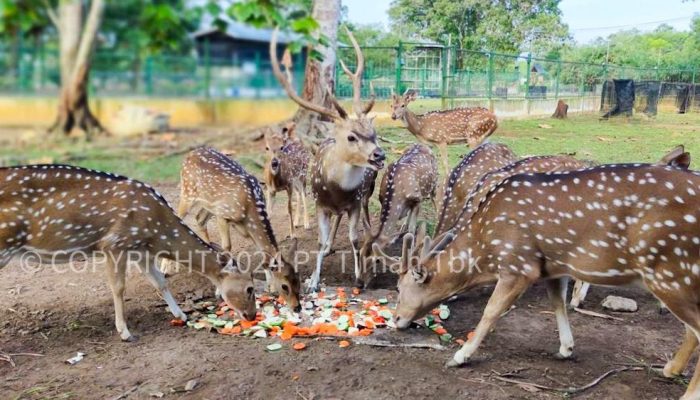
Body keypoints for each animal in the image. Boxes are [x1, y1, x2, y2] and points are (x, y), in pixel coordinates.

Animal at [0, 162, 254, 340]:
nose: (251, 315)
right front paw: (125, 332)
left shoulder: (139, 249)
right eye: (250, 288)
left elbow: (160, 281)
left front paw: (181, 315)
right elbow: (119, 287)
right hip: (5, 241)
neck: (157, 230)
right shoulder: (114, 243)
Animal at [175, 147, 300, 312]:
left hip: (209, 204)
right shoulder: (223, 215)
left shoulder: (245, 226)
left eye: (297, 279)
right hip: (188, 193)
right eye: (285, 286)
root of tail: (189, 154)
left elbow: (263, 253)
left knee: (199, 218)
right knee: (179, 216)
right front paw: (219, 291)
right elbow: (227, 247)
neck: (249, 208)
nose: (297, 307)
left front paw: (270, 287)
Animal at [270, 27, 386, 290]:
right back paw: (331, 246)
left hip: (366, 195)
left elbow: (354, 239)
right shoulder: (320, 203)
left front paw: (359, 278)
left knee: (362, 222)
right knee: (335, 221)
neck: (337, 190)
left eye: (373, 133)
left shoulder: (354, 201)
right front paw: (313, 280)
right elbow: (319, 242)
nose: (379, 154)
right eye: (351, 136)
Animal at [360, 144, 438, 288]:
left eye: (376, 260)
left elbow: (412, 232)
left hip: (434, 184)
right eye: (360, 253)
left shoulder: (417, 200)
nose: (359, 283)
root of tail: (424, 145)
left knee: (436, 200)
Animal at [394, 161, 700, 398]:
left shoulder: (518, 263)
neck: (485, 246)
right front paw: (566, 348)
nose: (396, 319)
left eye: (401, 288)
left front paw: (460, 357)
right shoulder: (554, 266)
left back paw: (688, 393)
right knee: (690, 329)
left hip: (669, 268)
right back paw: (670, 369)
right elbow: (557, 303)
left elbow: (491, 311)